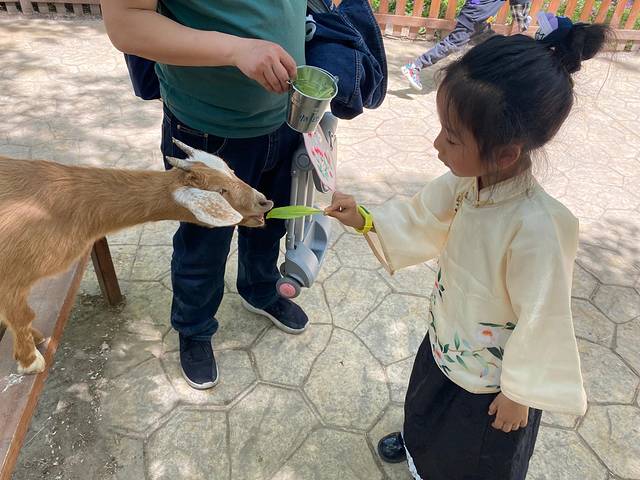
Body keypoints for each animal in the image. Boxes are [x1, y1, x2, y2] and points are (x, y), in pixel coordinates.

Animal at [0, 139, 273, 375]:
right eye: (221, 190)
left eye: (232, 170)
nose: (264, 202)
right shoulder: (11, 275)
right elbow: (22, 314)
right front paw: (30, 361)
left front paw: (31, 340)